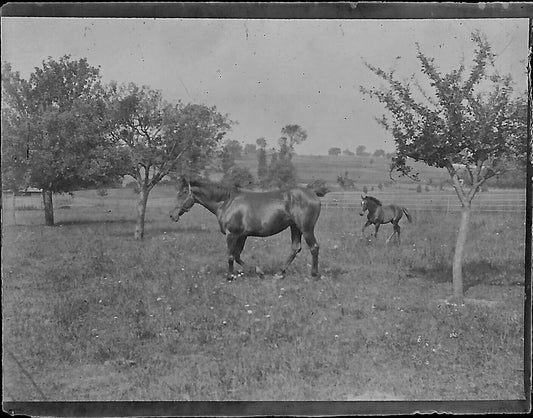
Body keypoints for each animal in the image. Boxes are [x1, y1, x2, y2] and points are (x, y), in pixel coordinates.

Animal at [168, 177, 322, 280]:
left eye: (182, 193)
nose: (172, 215)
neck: (226, 202)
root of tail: (312, 192)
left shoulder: (232, 234)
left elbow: (230, 256)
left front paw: (230, 276)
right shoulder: (242, 235)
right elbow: (237, 255)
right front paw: (257, 271)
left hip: (306, 229)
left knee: (314, 247)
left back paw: (314, 274)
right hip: (295, 227)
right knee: (295, 248)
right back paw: (279, 273)